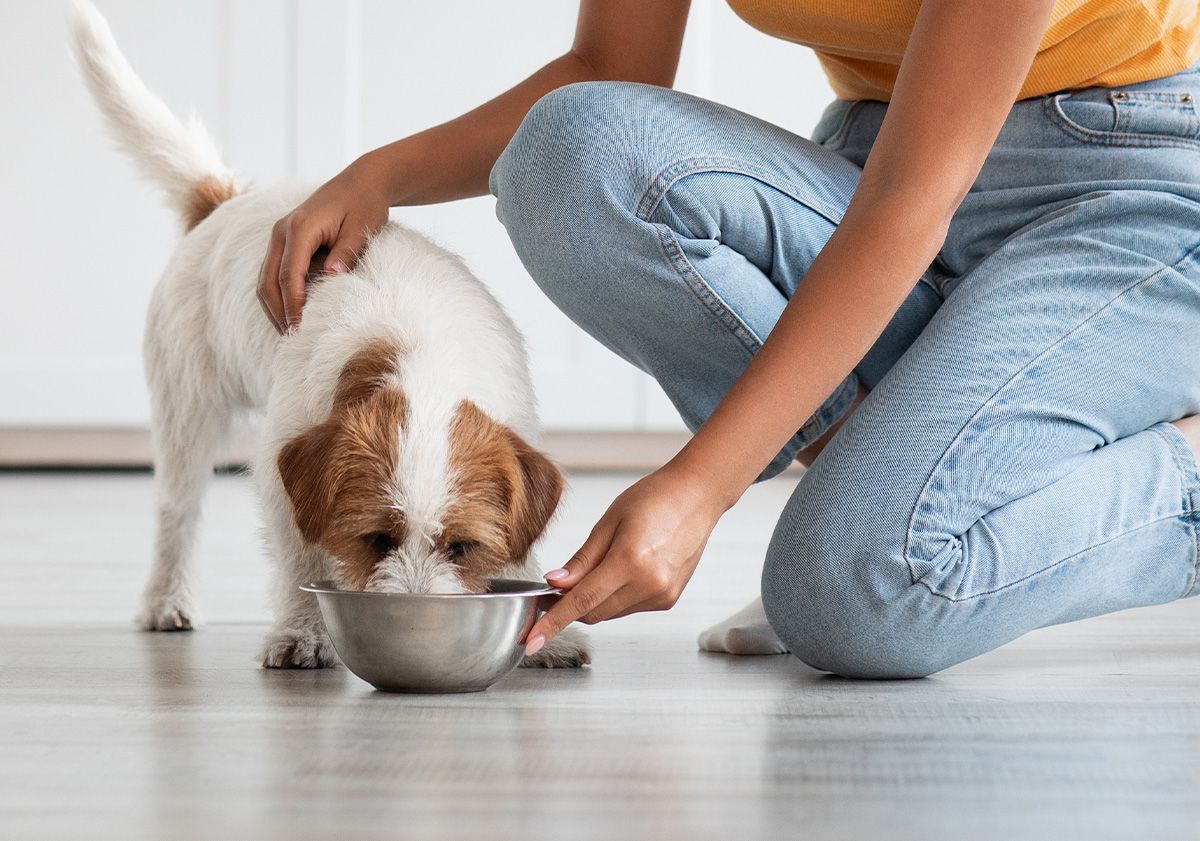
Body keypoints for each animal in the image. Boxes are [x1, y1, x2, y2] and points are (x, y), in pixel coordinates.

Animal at [69, 1, 585, 667]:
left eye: (462, 547)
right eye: (375, 539)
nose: (417, 618)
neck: (421, 356)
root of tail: (226, 200)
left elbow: (522, 544)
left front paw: (549, 634)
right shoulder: (282, 473)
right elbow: (299, 561)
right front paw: (302, 632)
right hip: (187, 408)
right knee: (175, 511)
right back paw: (166, 601)